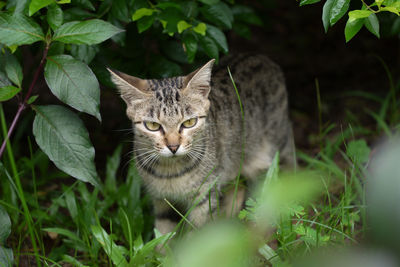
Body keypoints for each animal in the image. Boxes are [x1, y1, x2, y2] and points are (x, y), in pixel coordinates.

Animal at [108, 54, 296, 234]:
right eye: (153, 126)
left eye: (189, 122)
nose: (173, 147)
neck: (170, 172)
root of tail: (265, 59)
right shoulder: (162, 200)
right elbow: (163, 232)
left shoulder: (205, 197)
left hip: (279, 146)